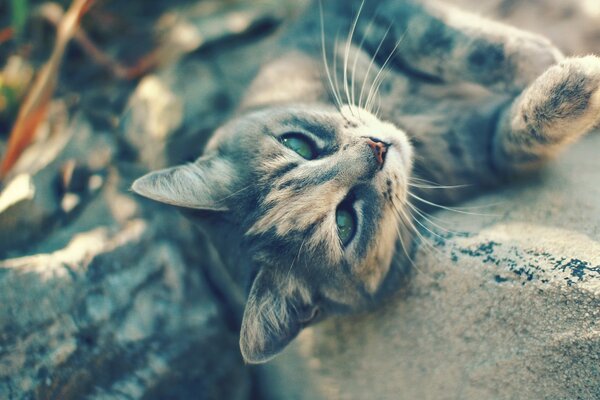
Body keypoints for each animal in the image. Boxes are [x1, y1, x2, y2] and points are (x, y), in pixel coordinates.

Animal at [132, 0, 600, 364]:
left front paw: (540, 58)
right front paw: (574, 80)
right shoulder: (486, 151)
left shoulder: (352, 11)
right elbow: (521, 130)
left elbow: (448, 41)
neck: (406, 114)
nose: (377, 149)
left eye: (297, 144)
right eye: (345, 223)